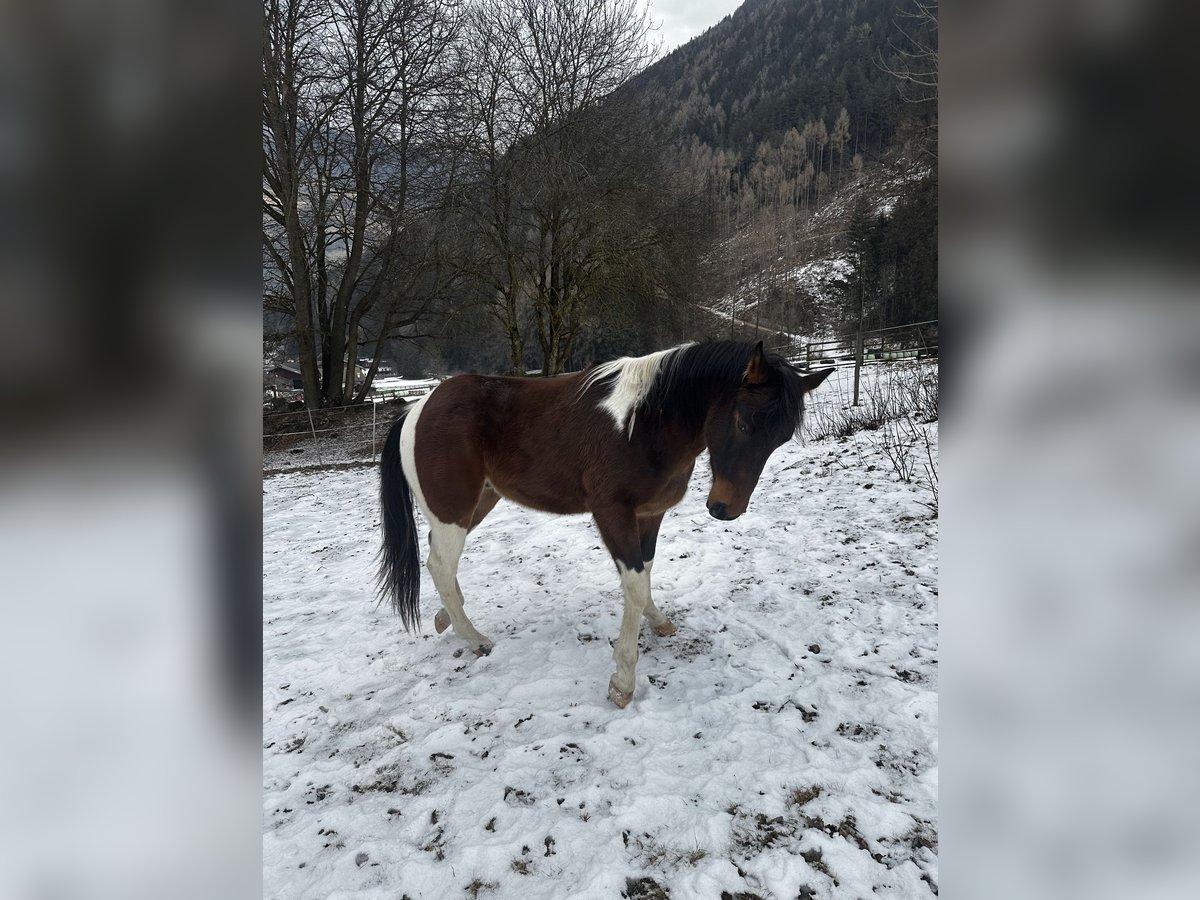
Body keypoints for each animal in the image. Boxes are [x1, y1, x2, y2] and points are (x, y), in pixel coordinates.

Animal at [379, 340, 830, 710]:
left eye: (780, 438)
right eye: (743, 421)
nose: (725, 509)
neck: (644, 424)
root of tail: (418, 408)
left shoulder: (650, 514)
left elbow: (646, 572)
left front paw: (658, 621)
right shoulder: (612, 513)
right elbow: (633, 584)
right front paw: (623, 681)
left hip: (477, 503)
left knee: (439, 560)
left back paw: (447, 619)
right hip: (454, 509)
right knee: (440, 564)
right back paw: (474, 639)